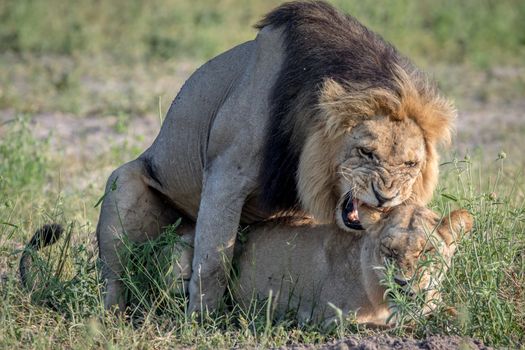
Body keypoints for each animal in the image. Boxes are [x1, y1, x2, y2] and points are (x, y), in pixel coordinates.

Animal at [92, 0, 452, 312]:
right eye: (366, 152)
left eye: (411, 164)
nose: (386, 198)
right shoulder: (225, 175)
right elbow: (213, 261)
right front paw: (201, 321)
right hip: (122, 185)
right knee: (116, 278)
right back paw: (114, 315)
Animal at [166, 205, 472, 326]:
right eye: (389, 250)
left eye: (427, 251)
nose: (403, 282)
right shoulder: (332, 320)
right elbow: (389, 327)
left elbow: (453, 310)